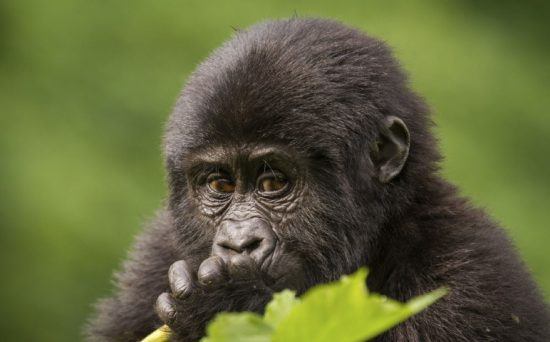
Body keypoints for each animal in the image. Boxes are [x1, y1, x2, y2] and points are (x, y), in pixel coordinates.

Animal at [86, 19, 550, 342]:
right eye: (220, 186)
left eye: (273, 183)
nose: (238, 245)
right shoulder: (154, 255)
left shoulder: (472, 281)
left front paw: (225, 304)